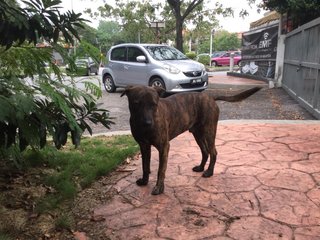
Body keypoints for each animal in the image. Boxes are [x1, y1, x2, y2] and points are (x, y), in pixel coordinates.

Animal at [121, 85, 262, 194]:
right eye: (136, 103)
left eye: (154, 104)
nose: (148, 123)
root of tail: (210, 97)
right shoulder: (144, 146)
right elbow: (145, 166)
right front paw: (144, 181)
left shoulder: (163, 147)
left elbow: (161, 170)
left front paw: (159, 188)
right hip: (198, 134)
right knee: (205, 152)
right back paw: (201, 167)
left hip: (209, 132)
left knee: (213, 152)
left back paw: (209, 172)